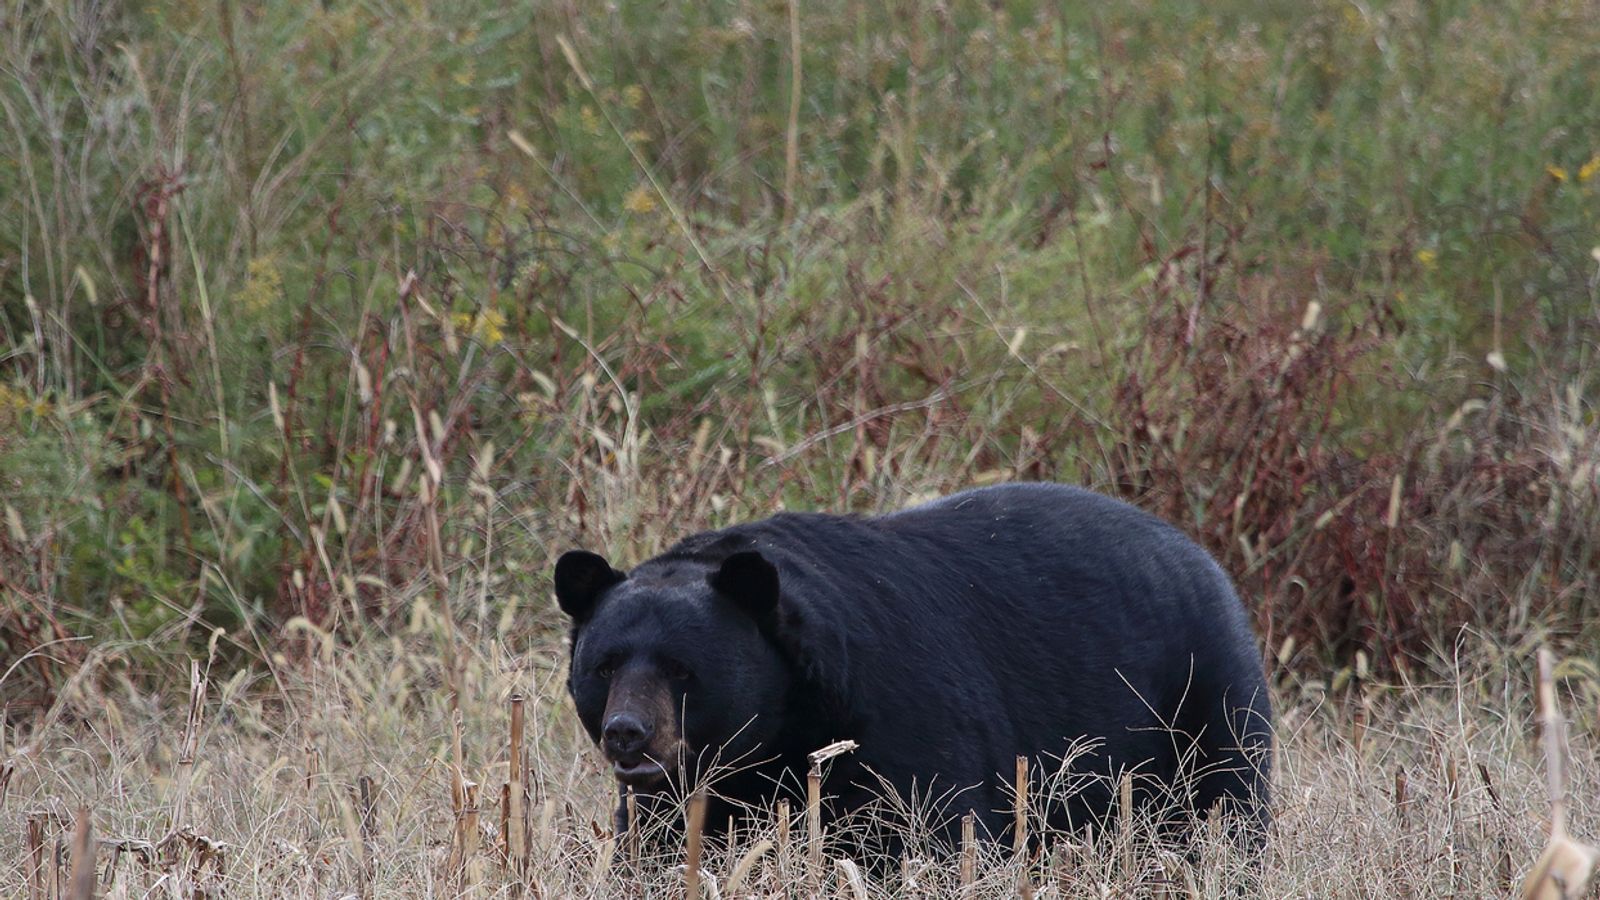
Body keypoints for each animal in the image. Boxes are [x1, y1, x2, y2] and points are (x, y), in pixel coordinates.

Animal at [554, 482, 1272, 855]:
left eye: (683, 669)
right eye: (605, 665)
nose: (628, 733)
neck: (784, 727)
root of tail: (1204, 558)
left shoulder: (901, 719)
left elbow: (935, 830)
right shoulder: (681, 795)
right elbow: (663, 845)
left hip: (1203, 704)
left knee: (1227, 813)